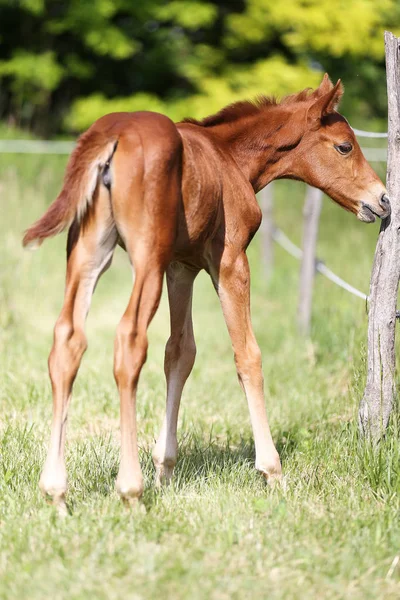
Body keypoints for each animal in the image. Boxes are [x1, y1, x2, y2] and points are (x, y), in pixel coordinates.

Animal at [23, 72, 390, 508]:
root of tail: (112, 134)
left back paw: (56, 491)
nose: (383, 199)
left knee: (68, 340)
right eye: (344, 146)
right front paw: (272, 470)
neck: (229, 158)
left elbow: (179, 353)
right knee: (129, 341)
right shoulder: (229, 261)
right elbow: (247, 354)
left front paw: (165, 468)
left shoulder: (181, 268)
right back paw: (130, 489)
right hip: (144, 258)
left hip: (87, 254)